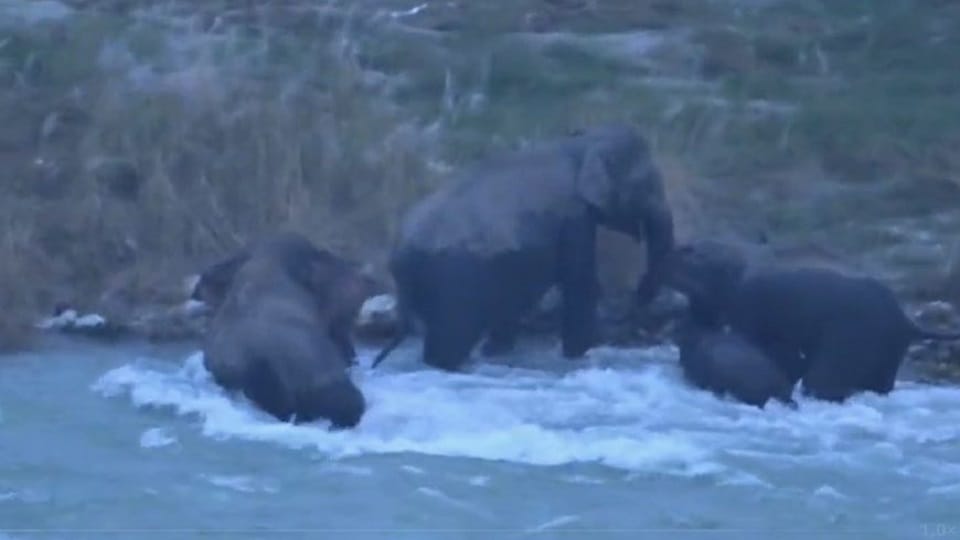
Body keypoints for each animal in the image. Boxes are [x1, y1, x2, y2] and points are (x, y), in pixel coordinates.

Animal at [372, 123, 675, 371]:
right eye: (648, 185)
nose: (630, 304)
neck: (580, 143)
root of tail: (401, 248)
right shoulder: (574, 217)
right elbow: (580, 283)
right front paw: (577, 357)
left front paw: (497, 352)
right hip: (451, 281)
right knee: (449, 340)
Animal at [662, 240, 960, 402]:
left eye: (690, 253)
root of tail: (907, 321)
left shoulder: (750, 303)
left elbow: (759, 342)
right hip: (887, 351)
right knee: (879, 385)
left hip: (855, 335)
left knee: (821, 381)